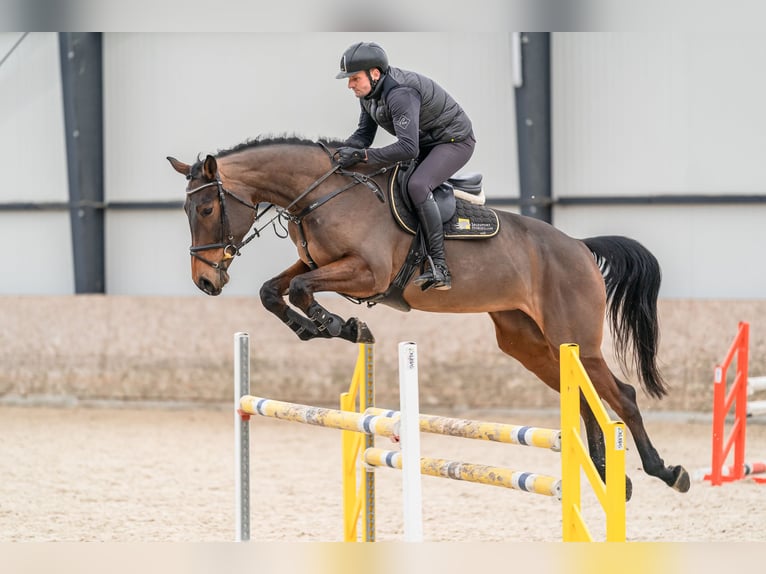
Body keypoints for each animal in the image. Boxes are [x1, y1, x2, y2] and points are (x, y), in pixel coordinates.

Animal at [170, 135, 696, 500]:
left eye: (208, 207)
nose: (205, 281)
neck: (322, 194)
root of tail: (581, 247)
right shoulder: (317, 264)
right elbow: (273, 290)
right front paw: (317, 327)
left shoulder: (366, 273)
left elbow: (300, 289)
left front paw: (339, 326)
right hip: (531, 344)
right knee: (585, 400)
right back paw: (612, 480)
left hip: (577, 340)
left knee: (622, 396)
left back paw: (666, 471)